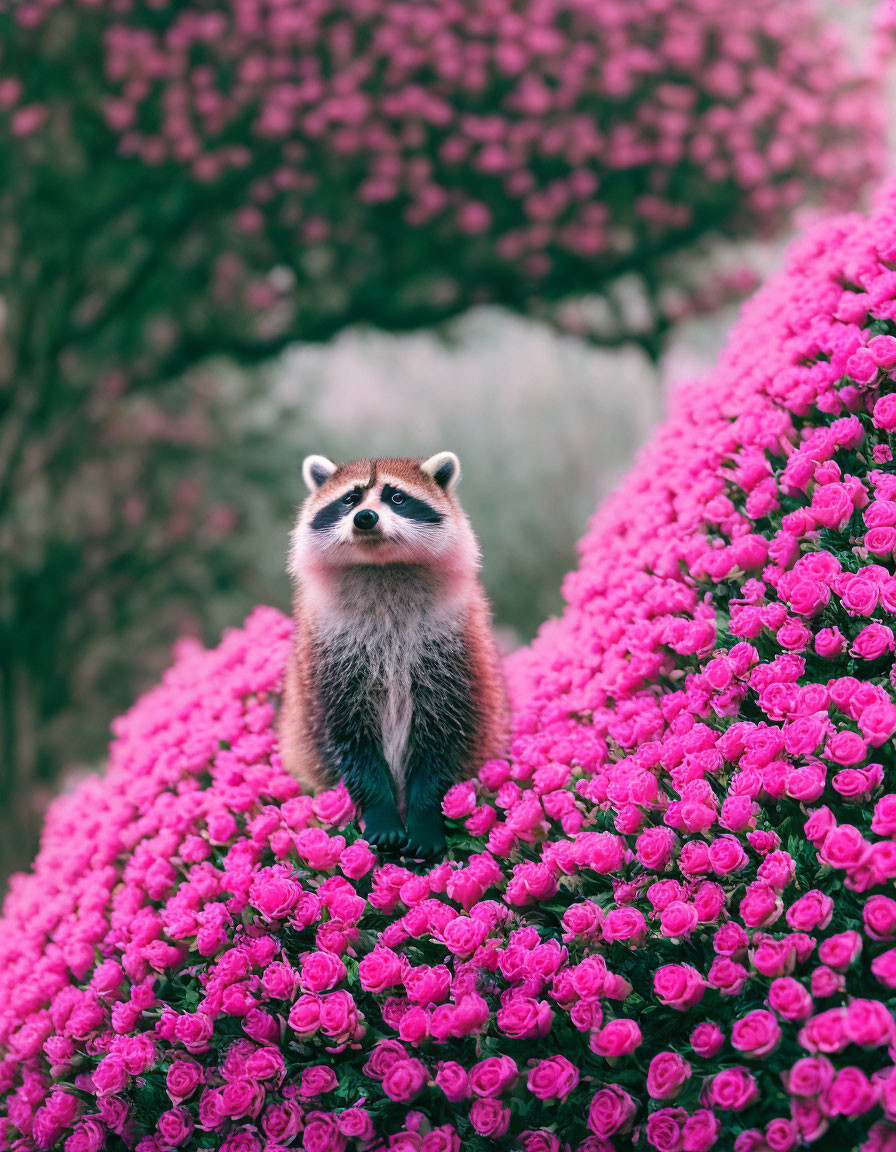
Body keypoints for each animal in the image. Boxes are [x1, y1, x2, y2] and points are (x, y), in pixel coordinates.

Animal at [275, 453, 506, 861]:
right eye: (350, 499)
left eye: (396, 497)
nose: (365, 517)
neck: (382, 567)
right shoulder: (330, 658)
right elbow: (347, 736)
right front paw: (380, 809)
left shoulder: (451, 651)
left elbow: (444, 734)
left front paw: (425, 812)